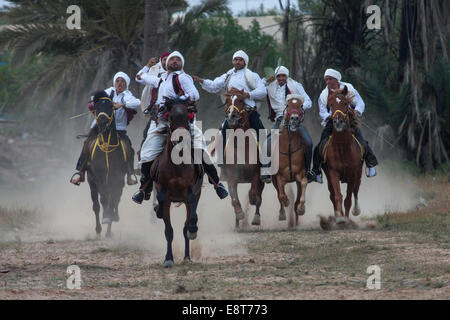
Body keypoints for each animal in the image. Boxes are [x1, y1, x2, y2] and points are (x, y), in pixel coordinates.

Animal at [85, 90, 128, 238]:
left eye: (111, 107)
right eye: (96, 107)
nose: (102, 123)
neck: (107, 148)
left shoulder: (118, 179)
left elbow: (114, 200)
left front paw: (112, 217)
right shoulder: (99, 177)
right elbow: (103, 200)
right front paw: (106, 217)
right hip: (92, 182)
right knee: (96, 205)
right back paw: (99, 229)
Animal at [152, 98, 203, 268]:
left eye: (187, 117)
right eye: (172, 117)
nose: (180, 139)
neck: (177, 163)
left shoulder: (191, 191)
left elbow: (189, 222)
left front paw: (193, 229)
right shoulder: (165, 196)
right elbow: (169, 231)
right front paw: (169, 258)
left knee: (186, 225)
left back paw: (187, 256)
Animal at [221, 87, 266, 228]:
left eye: (241, 100)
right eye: (227, 101)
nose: (231, 116)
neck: (241, 146)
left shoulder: (256, 175)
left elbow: (254, 194)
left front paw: (251, 202)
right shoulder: (231, 177)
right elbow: (234, 199)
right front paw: (240, 214)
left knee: (259, 198)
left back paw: (256, 218)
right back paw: (237, 224)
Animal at [270, 95, 310, 225]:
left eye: (301, 105)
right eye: (287, 105)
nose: (294, 118)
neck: (288, 148)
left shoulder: (300, 174)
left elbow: (304, 183)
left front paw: (301, 209)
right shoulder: (278, 177)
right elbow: (281, 195)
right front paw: (286, 202)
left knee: (296, 201)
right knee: (279, 194)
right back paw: (282, 213)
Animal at [322, 85, 364, 228]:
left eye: (345, 103)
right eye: (330, 104)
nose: (338, 121)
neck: (342, 148)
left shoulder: (353, 173)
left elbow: (348, 198)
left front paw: (346, 219)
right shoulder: (332, 172)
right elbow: (338, 196)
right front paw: (339, 218)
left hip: (359, 173)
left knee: (356, 190)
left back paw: (356, 210)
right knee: (332, 194)